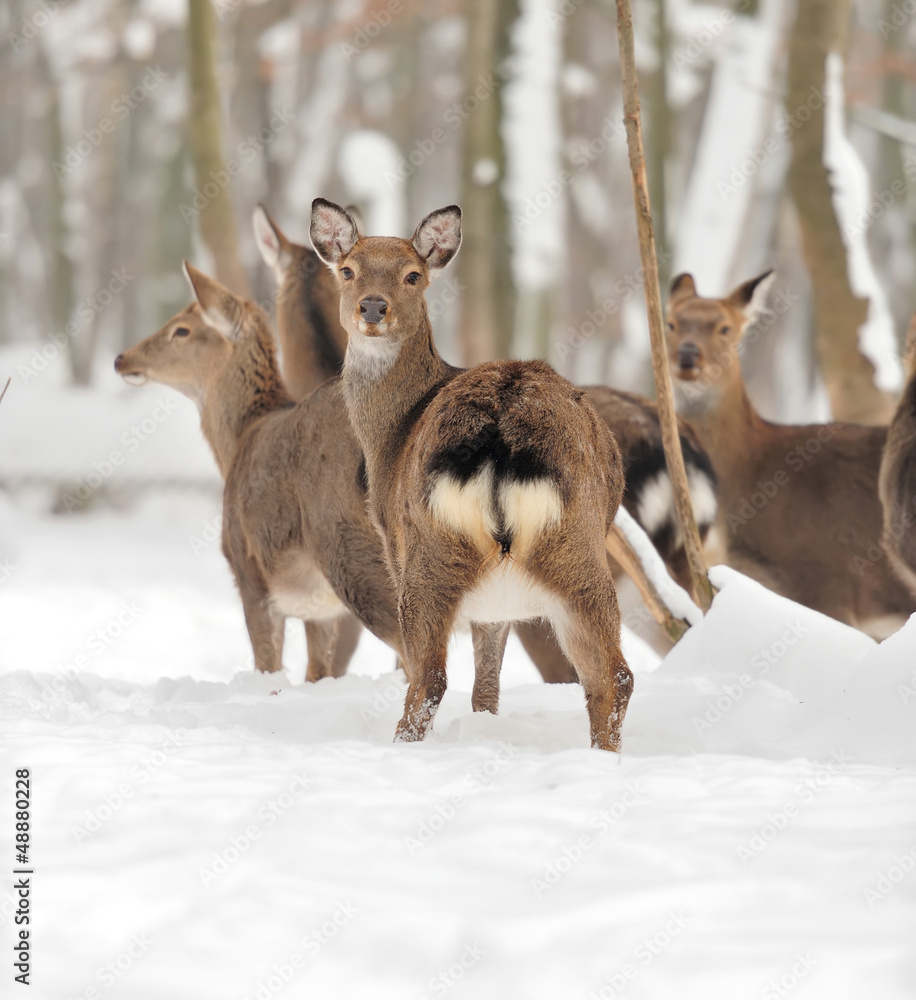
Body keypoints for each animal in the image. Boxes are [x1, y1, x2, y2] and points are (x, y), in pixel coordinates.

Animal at [112, 264, 404, 680]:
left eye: (181, 330)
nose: (122, 359)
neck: (238, 441)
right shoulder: (319, 609)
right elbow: (316, 672)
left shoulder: (249, 573)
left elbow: (268, 665)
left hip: (347, 542)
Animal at [308, 199, 636, 752]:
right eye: (347, 270)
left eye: (413, 275)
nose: (372, 307)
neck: (389, 437)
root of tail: (503, 429)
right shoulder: (498, 604)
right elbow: (488, 689)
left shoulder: (396, 550)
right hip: (575, 549)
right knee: (613, 675)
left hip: (431, 554)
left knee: (429, 680)